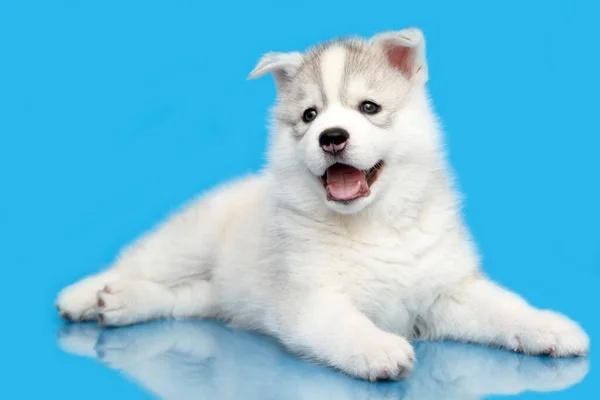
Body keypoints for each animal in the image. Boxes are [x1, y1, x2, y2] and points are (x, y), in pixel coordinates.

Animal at [57, 27, 592, 382]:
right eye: (310, 115)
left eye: (369, 108)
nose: (332, 137)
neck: (374, 224)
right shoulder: (308, 298)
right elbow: (343, 322)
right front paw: (377, 347)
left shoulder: (445, 293)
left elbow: (504, 308)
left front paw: (549, 327)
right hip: (191, 241)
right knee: (139, 262)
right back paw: (86, 295)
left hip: (224, 293)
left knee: (185, 297)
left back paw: (123, 303)